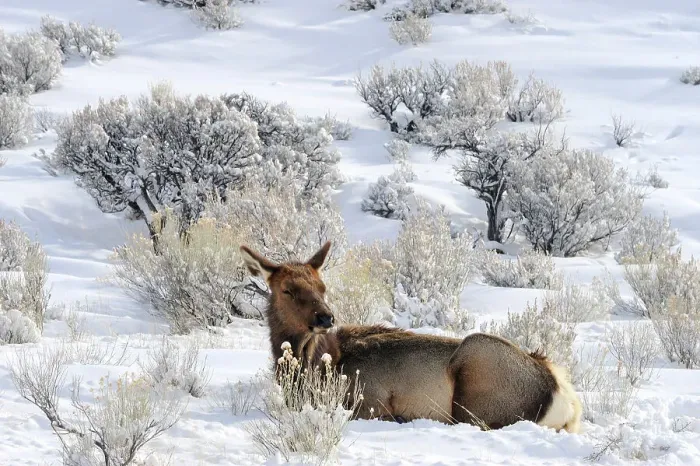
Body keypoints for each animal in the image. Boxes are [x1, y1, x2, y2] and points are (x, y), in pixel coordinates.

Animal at [239, 241, 582, 433]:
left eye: (322, 287)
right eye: (287, 289)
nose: (326, 317)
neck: (317, 368)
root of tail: (564, 398)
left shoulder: (370, 401)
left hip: (476, 379)